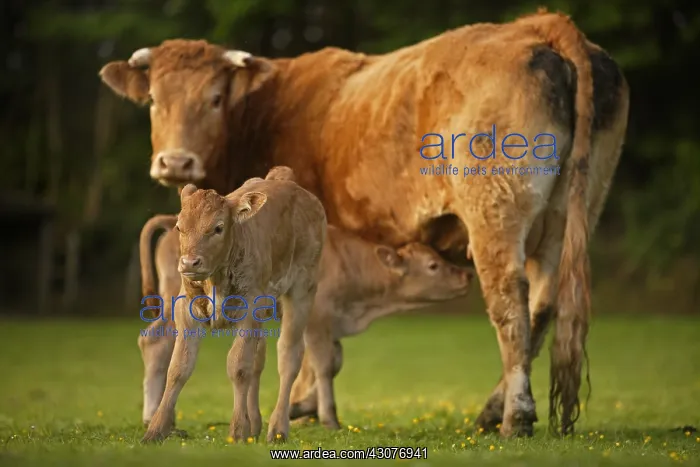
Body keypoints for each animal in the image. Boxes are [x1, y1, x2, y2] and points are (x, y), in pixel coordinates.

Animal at [141, 178, 327, 444]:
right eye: (179, 227)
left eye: (218, 228)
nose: (189, 263)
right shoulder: (186, 310)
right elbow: (179, 367)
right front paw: (156, 430)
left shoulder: (250, 311)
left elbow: (238, 366)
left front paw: (238, 430)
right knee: (258, 357)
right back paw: (255, 424)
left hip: (302, 291)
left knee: (289, 355)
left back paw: (277, 429)